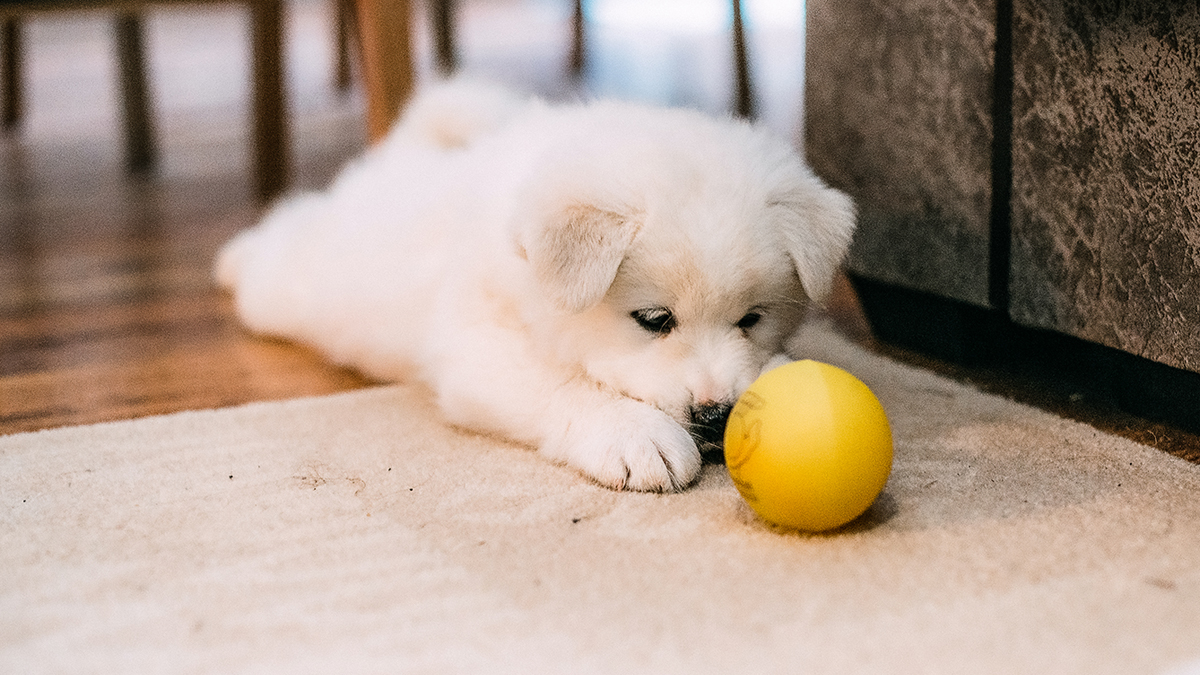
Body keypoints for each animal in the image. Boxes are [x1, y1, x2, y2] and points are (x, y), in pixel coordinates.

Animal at [216, 79, 854, 487]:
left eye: (752, 319)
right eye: (654, 320)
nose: (717, 415)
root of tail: (399, 155)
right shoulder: (478, 350)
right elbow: (560, 384)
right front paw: (637, 435)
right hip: (294, 286)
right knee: (281, 231)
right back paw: (233, 257)